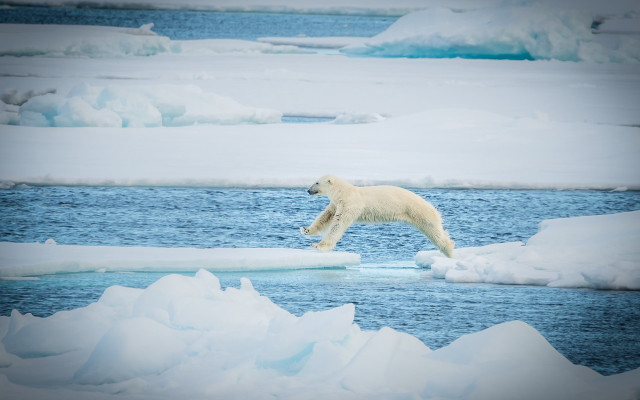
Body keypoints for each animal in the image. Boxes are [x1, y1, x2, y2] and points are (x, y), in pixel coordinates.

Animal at [300, 174, 454, 257]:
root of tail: (434, 209)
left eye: (317, 182)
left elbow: (338, 224)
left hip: (419, 212)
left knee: (434, 232)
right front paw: (305, 230)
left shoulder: (350, 204)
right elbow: (326, 216)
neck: (344, 192)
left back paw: (449, 251)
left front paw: (318, 245)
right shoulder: (336, 204)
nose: (308, 190)